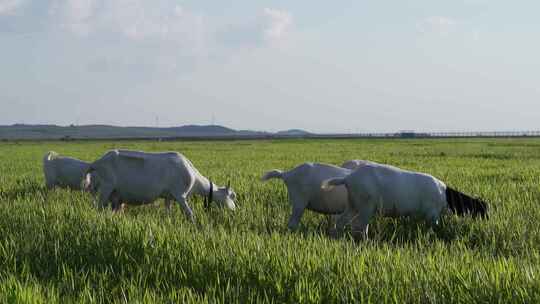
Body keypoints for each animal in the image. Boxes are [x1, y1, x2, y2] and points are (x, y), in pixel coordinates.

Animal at [83, 149, 235, 218]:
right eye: (233, 196)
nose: (234, 210)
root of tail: (96, 163)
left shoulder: (169, 197)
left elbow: (168, 211)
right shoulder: (180, 195)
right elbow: (190, 214)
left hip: (115, 195)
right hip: (106, 187)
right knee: (98, 208)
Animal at [320, 160, 490, 241]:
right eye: (483, 209)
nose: (488, 221)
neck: (446, 196)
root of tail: (348, 178)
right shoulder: (432, 214)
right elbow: (433, 228)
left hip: (353, 205)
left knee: (341, 222)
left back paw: (337, 238)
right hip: (365, 206)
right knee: (360, 227)